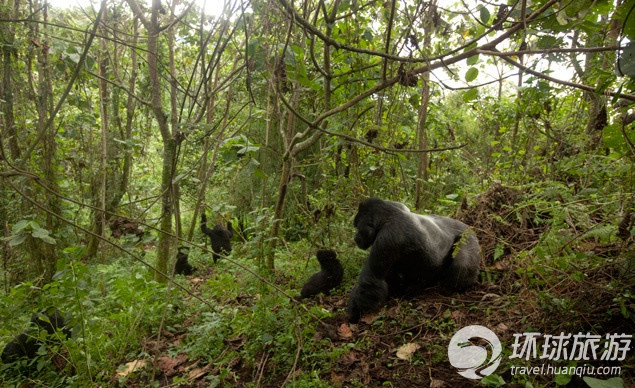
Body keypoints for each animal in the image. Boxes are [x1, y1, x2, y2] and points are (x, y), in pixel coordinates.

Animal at [348, 199, 482, 322]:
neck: (387, 216)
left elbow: (371, 282)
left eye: (357, 227)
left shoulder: (387, 239)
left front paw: (354, 314)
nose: (355, 237)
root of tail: (470, 226)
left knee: (461, 266)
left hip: (468, 236)